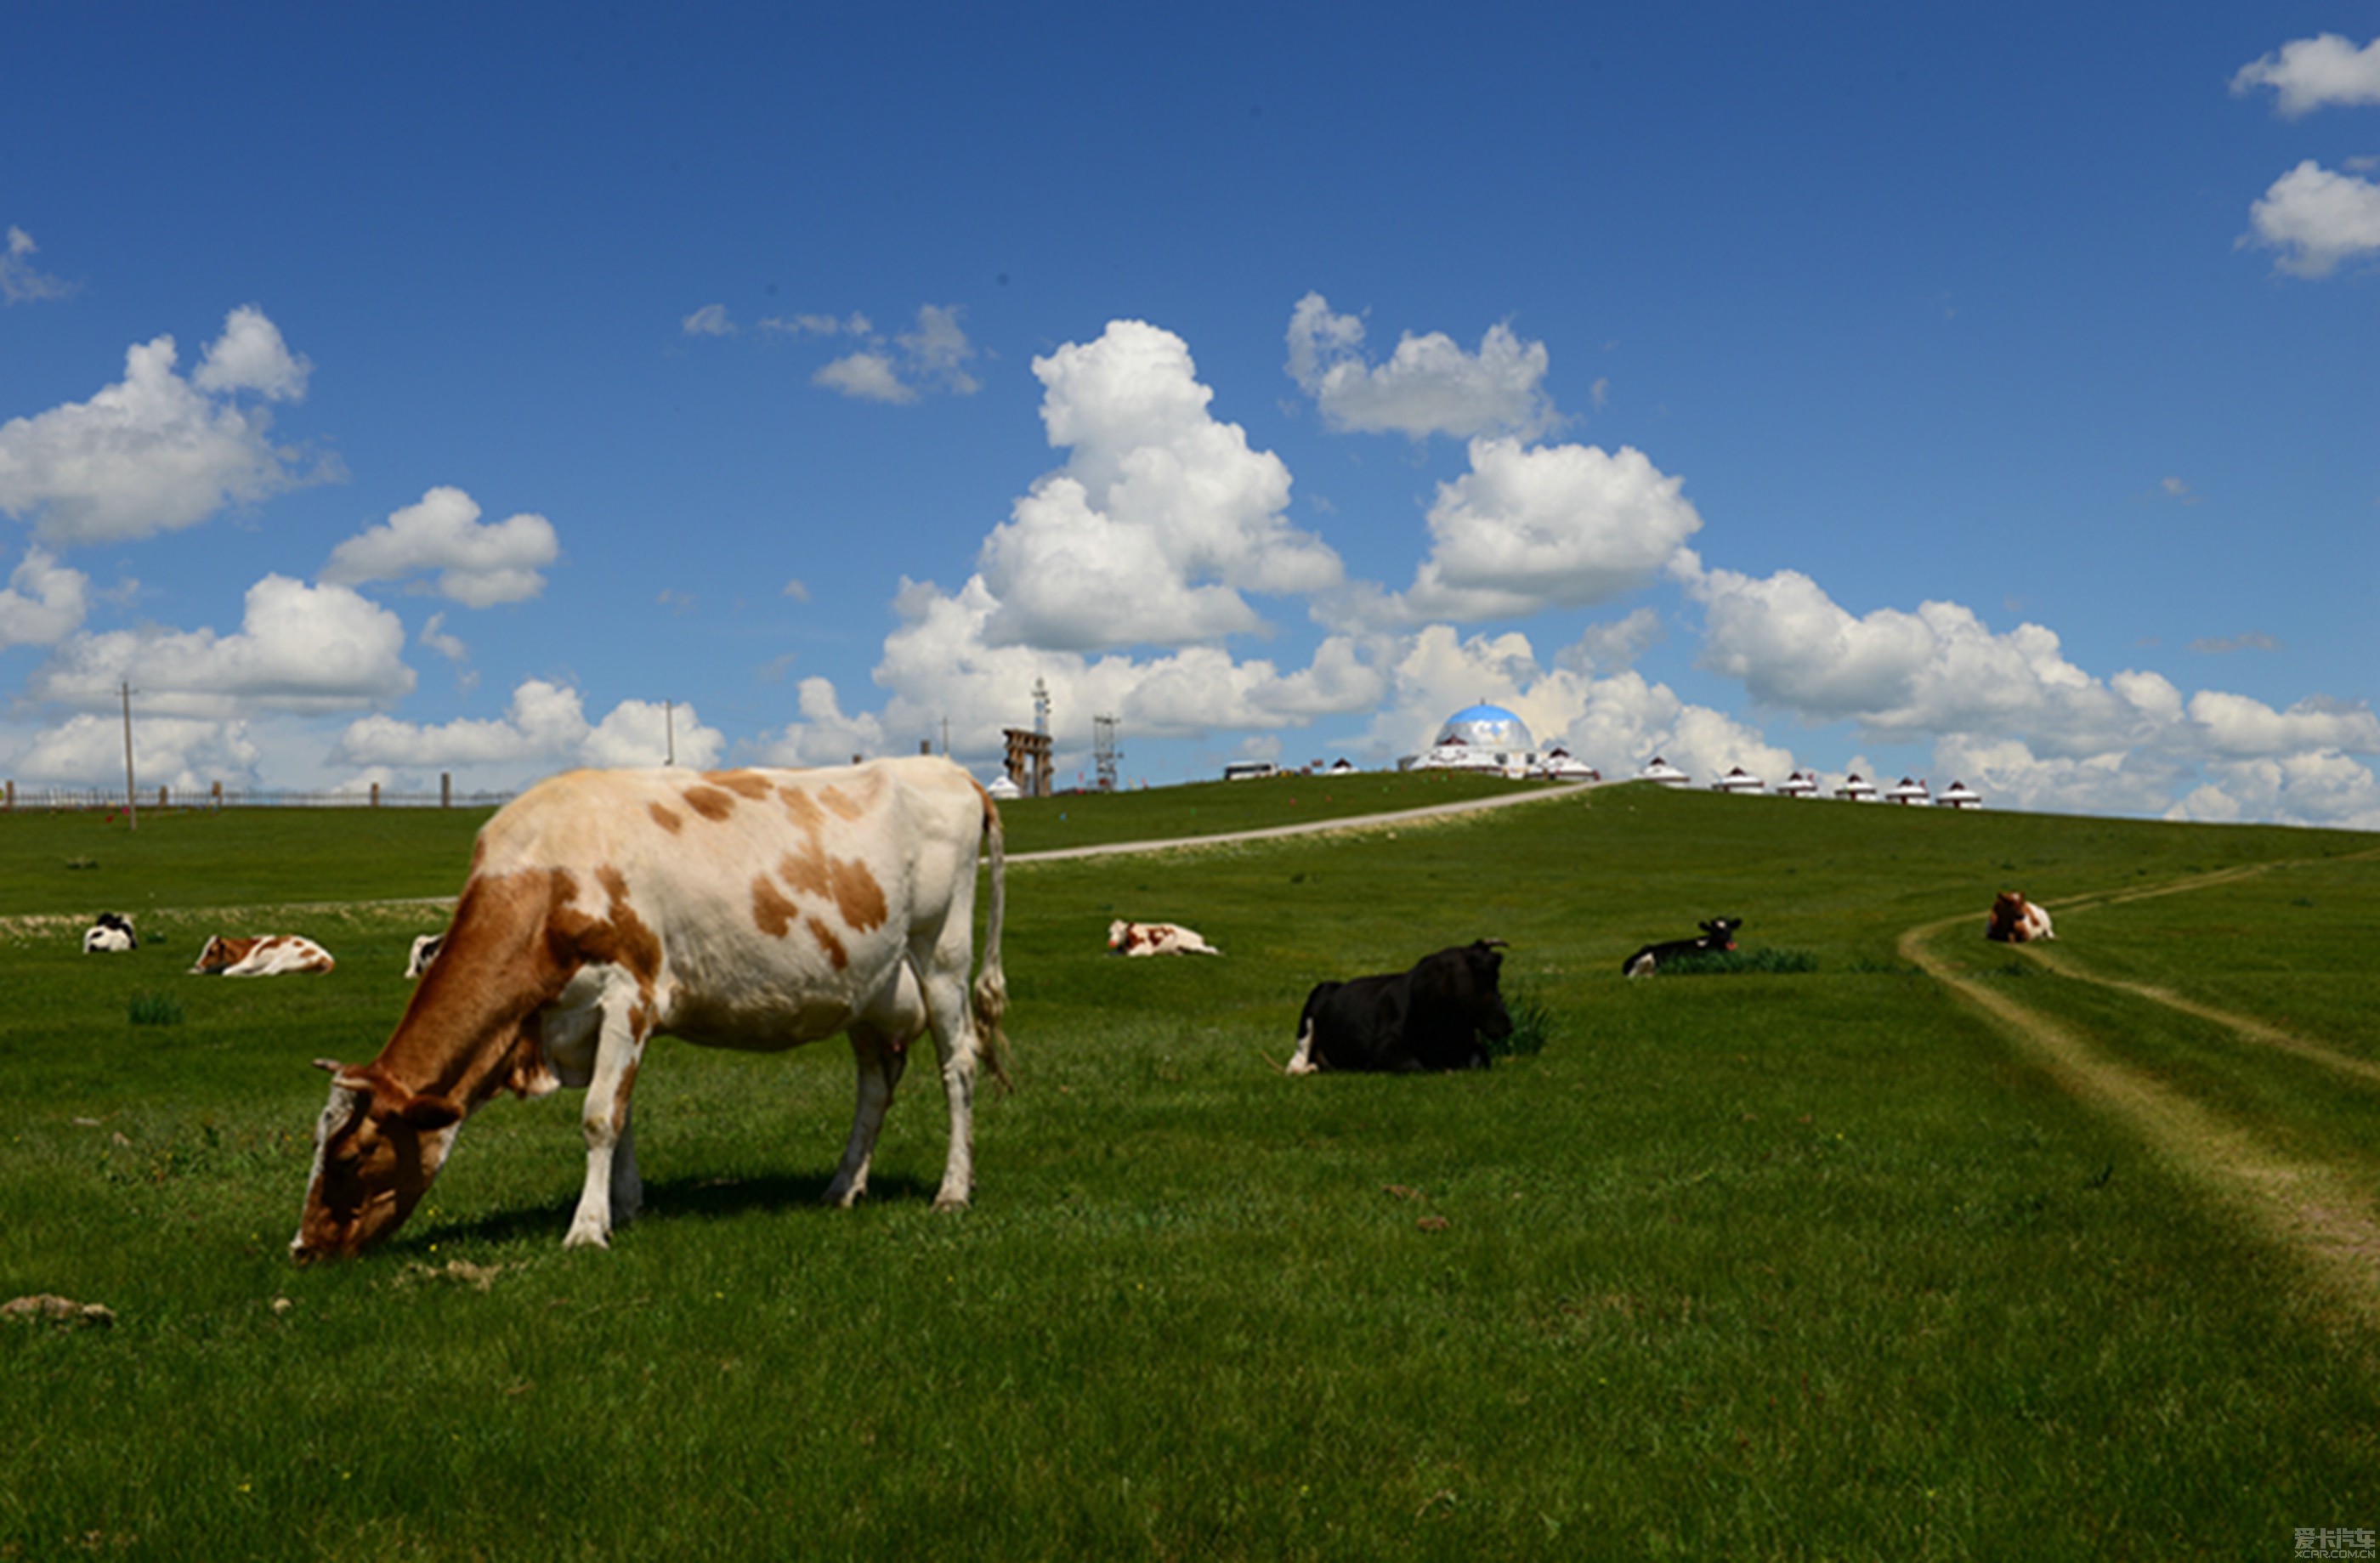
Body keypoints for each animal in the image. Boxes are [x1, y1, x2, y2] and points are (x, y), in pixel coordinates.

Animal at [192, 932, 337, 971]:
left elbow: (226, 972)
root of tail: (327, 958)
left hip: (281, 961)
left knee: (267, 972)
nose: (198, 965)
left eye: (211, 951)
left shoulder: (246, 963)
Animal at [292, 751, 1009, 1255]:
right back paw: (843, 1187)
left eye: (351, 1154)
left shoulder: (626, 993)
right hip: (870, 990)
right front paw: (626, 1204)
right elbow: (624, 1109)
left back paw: (952, 1190)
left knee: (959, 1066)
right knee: (876, 1083)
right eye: (316, 1143)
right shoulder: (585, 1019)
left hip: (941, 955)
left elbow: (598, 1116)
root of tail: (950, 770)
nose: (303, 1249)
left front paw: (587, 1228)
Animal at [1108, 918, 1227, 956]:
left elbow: (1130, 954)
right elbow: (1109, 954)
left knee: (1212, 949)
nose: (1111, 942)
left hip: (1194, 945)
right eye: (1110, 932)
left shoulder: (1146, 948)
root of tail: (1199, 936)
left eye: (1122, 931)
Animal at [1285, 937, 1504, 1075]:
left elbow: (1480, 1061)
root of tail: (1335, 984)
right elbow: (1414, 1065)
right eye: (1481, 977)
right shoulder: (1384, 1045)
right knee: (1295, 1063)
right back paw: (1308, 1069)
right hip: (1309, 1021)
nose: (1506, 1025)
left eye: (1496, 978)